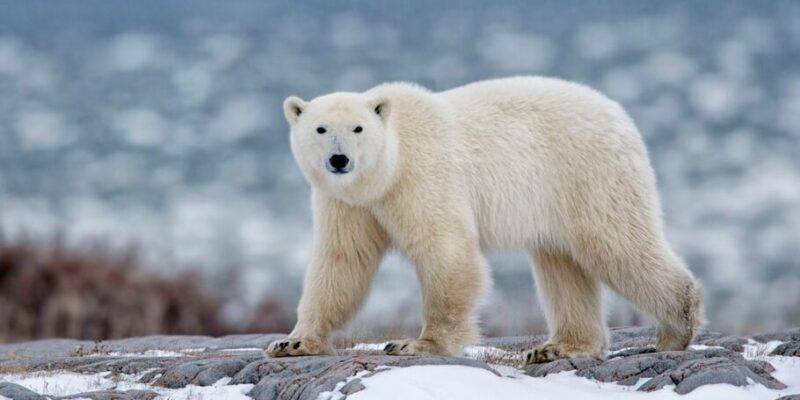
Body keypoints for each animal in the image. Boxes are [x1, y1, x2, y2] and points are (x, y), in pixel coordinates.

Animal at [268, 76, 700, 364]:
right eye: (320, 128)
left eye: (357, 128)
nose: (339, 159)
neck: (388, 168)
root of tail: (620, 114)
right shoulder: (347, 203)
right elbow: (342, 262)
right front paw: (292, 342)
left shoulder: (423, 176)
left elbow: (446, 251)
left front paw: (416, 344)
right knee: (562, 265)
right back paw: (557, 347)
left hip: (588, 174)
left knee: (616, 244)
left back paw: (676, 328)